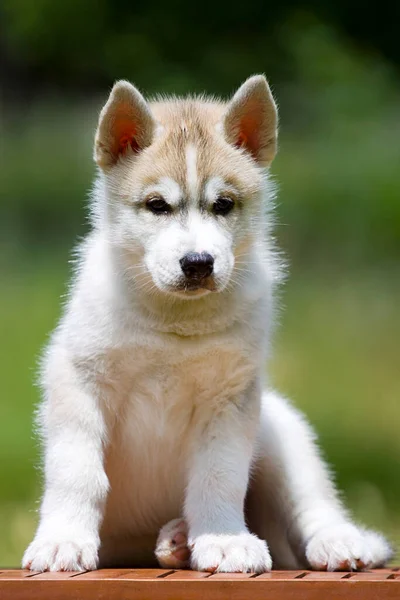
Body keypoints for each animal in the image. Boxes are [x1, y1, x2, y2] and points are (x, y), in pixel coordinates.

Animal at [22, 75, 394, 572]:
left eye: (223, 204)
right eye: (157, 205)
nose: (198, 263)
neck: (174, 324)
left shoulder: (230, 398)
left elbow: (219, 476)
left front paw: (223, 539)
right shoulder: (78, 380)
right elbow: (77, 471)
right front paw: (63, 539)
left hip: (281, 428)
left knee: (312, 503)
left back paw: (337, 541)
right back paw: (176, 540)